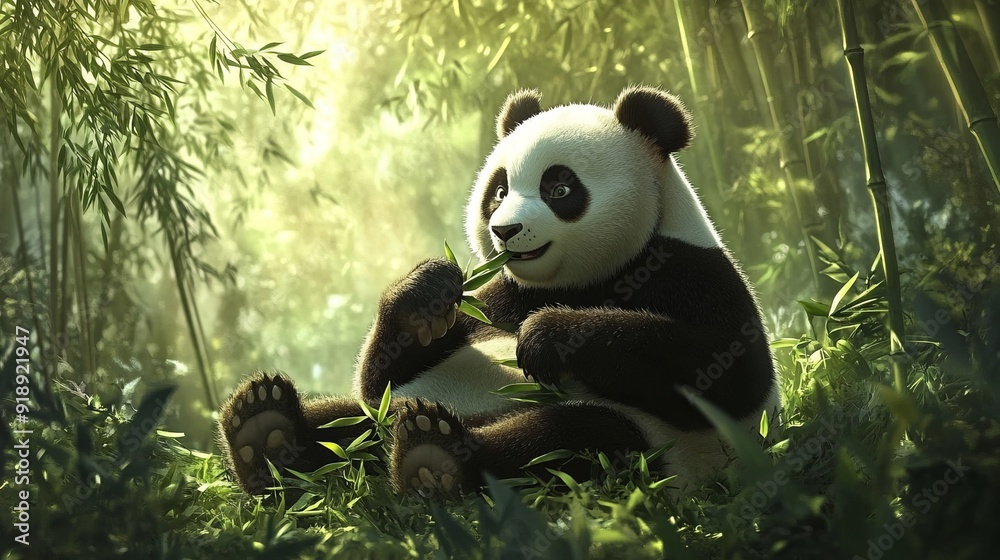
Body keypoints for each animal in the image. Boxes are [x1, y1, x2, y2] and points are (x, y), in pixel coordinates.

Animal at [218, 86, 781, 497]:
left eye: (560, 188)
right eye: (500, 189)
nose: (504, 231)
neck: (587, 277)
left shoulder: (690, 269)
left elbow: (728, 372)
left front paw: (549, 335)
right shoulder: (499, 294)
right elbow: (381, 380)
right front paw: (425, 295)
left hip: (654, 451)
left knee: (568, 440)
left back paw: (434, 459)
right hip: (391, 417)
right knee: (353, 419)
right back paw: (266, 431)